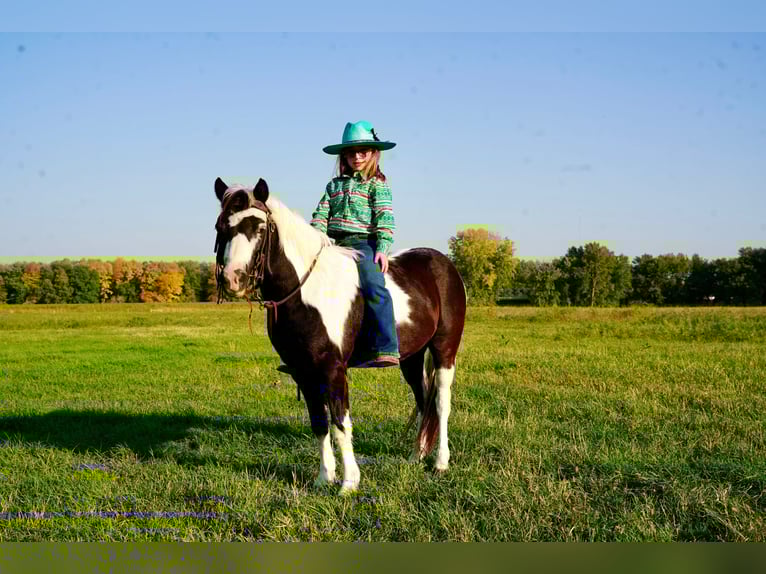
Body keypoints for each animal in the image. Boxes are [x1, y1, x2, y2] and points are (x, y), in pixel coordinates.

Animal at [213, 177, 466, 494]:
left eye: (259, 227)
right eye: (221, 227)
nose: (233, 278)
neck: (306, 291)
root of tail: (444, 264)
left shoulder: (333, 370)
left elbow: (341, 424)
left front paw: (349, 483)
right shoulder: (304, 373)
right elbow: (319, 424)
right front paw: (324, 478)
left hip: (445, 349)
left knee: (441, 403)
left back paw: (441, 463)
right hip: (411, 357)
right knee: (423, 401)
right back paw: (415, 456)